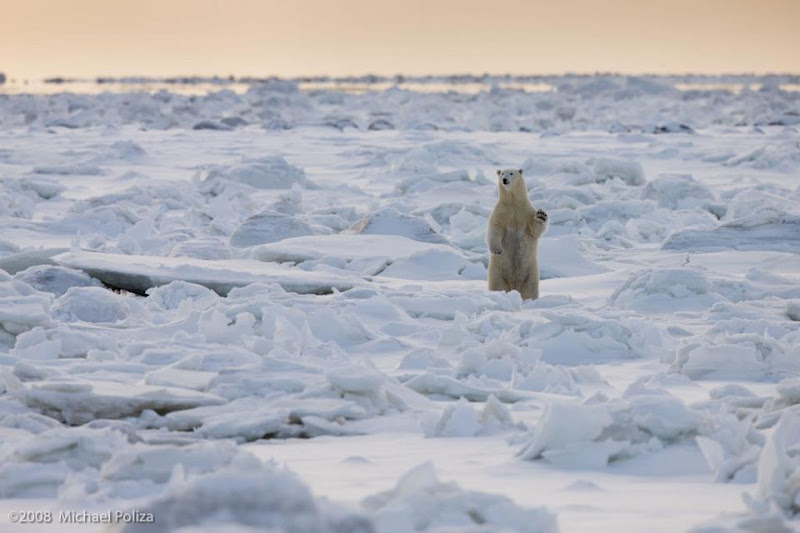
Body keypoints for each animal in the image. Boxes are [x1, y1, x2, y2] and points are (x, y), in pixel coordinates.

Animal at [484, 166, 548, 300]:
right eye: (502, 173)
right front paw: (497, 250)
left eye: (511, 173)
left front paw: (541, 215)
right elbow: (495, 227)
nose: (504, 180)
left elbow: (534, 230)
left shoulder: (525, 211)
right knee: (498, 286)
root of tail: (514, 287)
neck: (513, 202)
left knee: (530, 290)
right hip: (497, 273)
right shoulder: (501, 212)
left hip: (531, 274)